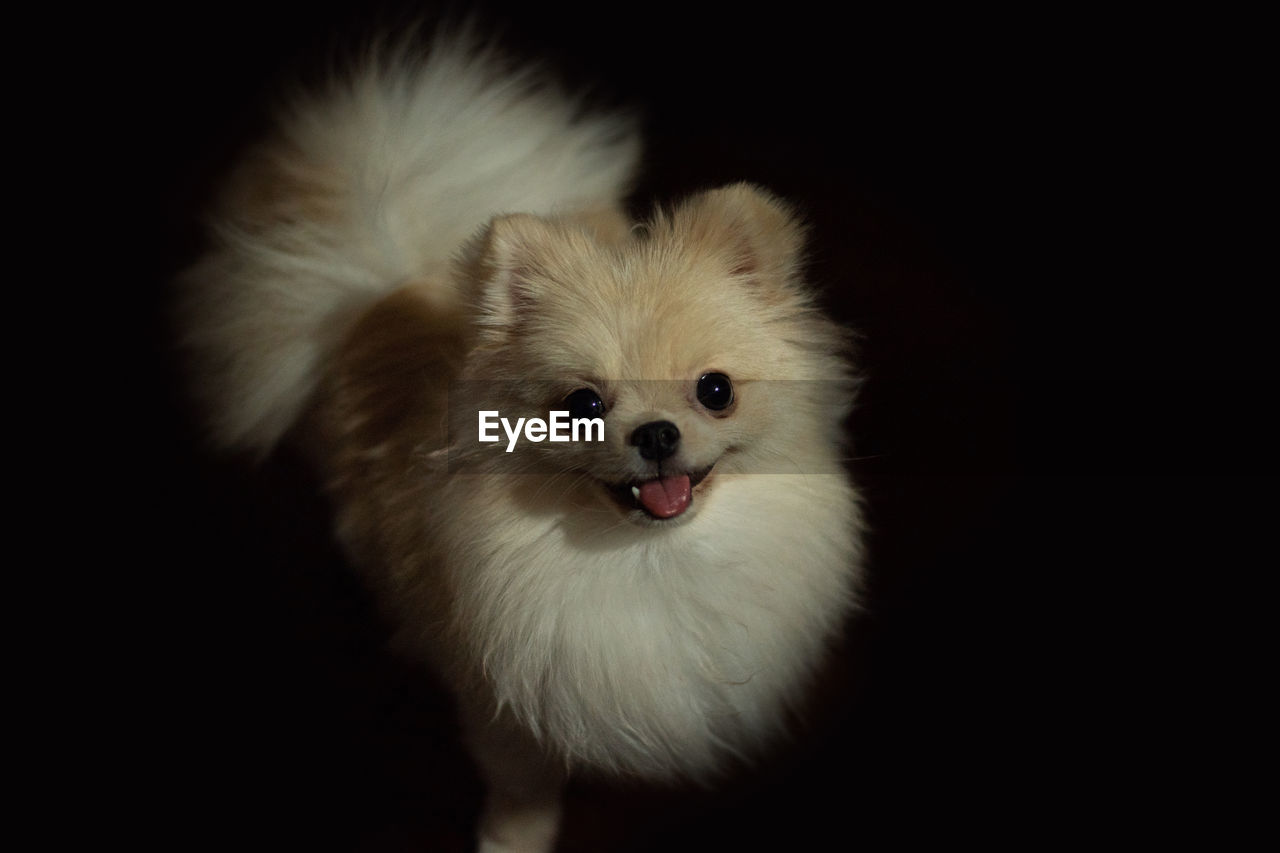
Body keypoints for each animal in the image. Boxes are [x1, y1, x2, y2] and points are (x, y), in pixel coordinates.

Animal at [177, 29, 860, 845]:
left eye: (715, 391)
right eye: (582, 403)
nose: (657, 432)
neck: (648, 561)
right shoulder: (505, 703)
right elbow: (522, 782)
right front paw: (512, 839)